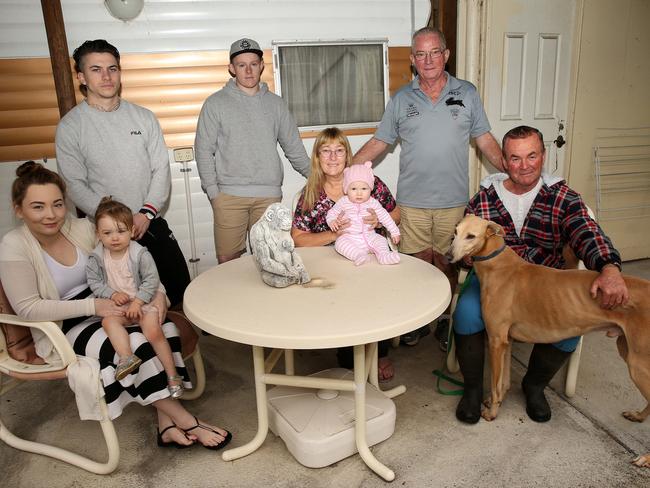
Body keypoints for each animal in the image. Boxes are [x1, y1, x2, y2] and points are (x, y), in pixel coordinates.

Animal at [448, 215, 644, 468]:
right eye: (455, 232)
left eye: (471, 236)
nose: (448, 256)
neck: (498, 264)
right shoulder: (506, 340)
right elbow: (503, 383)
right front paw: (494, 401)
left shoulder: (496, 340)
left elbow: (494, 382)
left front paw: (492, 414)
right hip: (627, 350)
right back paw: (637, 416)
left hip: (639, 365)